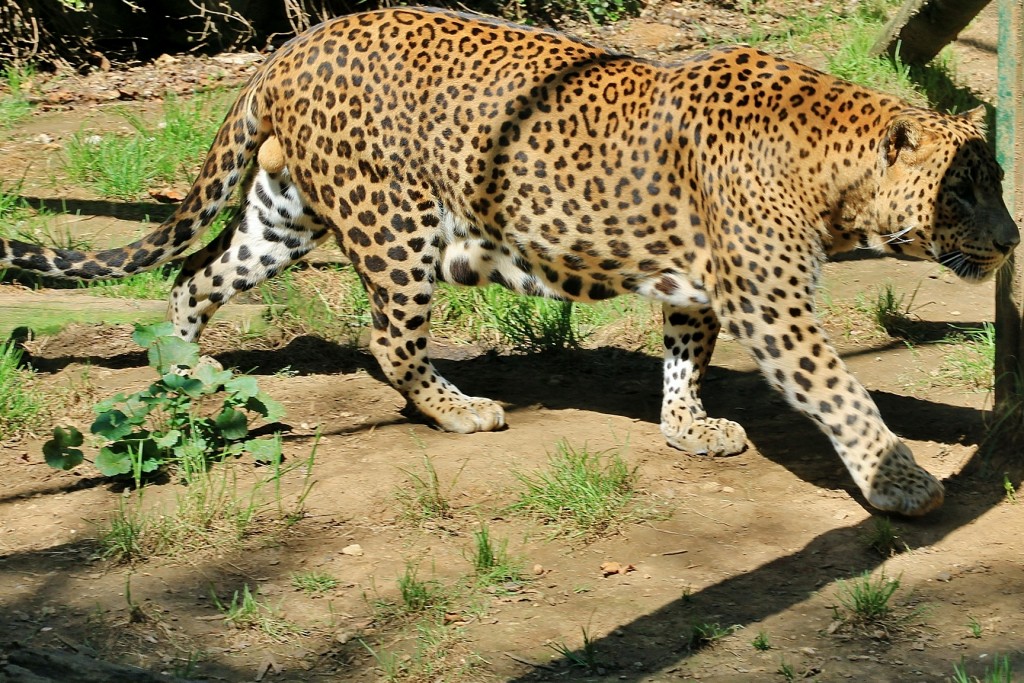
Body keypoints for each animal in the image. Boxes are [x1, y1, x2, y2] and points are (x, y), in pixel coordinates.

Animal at [4, 6, 1019, 518]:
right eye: (962, 194)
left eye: (994, 187)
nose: (1013, 240)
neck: (836, 176)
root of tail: (294, 43)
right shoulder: (774, 306)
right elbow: (845, 392)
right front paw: (900, 481)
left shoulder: (697, 285)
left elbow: (685, 358)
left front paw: (687, 428)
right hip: (396, 222)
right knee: (389, 339)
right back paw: (460, 410)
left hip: (283, 214)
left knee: (195, 276)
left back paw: (184, 371)